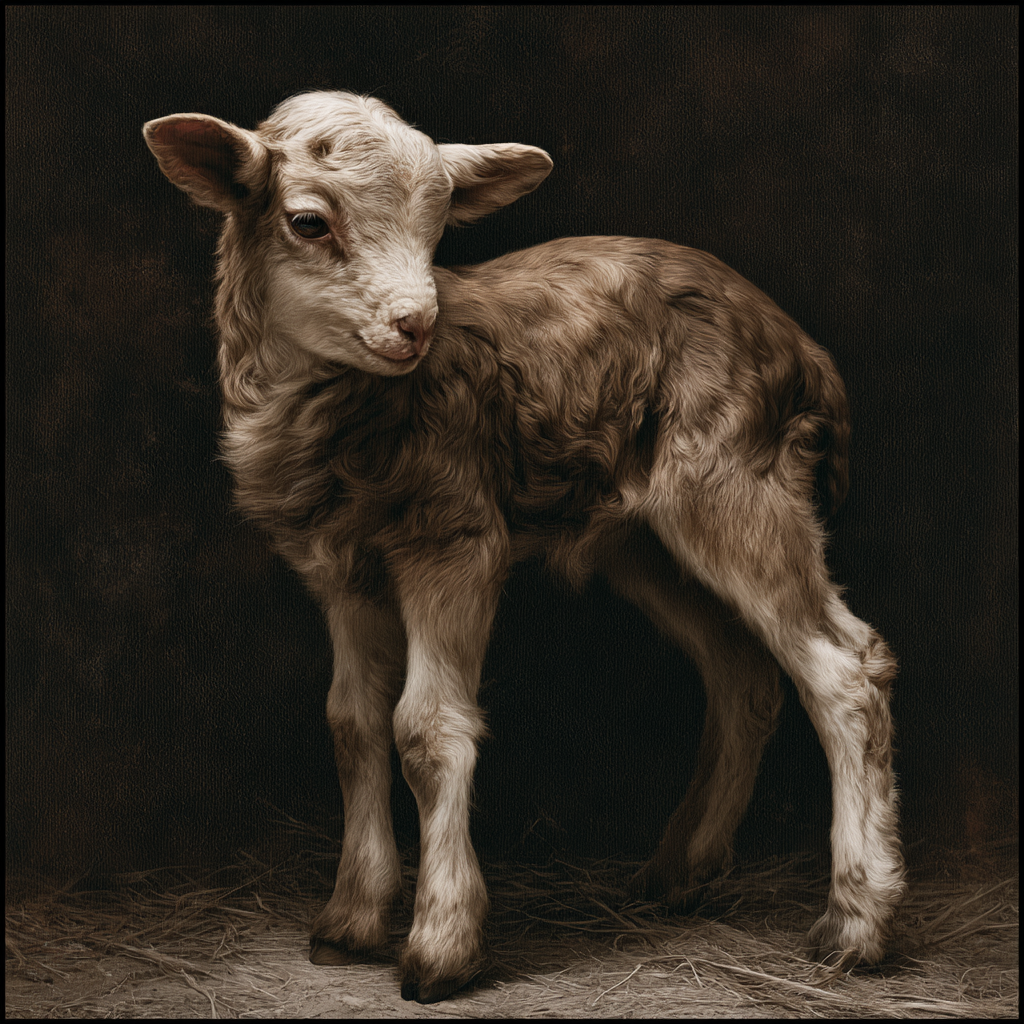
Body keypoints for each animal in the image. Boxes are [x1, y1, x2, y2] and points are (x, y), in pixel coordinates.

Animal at [143, 90, 905, 1003]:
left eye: (437, 227)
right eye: (308, 223)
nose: (415, 325)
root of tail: (804, 349)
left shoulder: (455, 538)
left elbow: (425, 729)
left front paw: (440, 945)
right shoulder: (341, 570)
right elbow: (351, 724)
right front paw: (350, 921)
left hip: (739, 484)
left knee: (845, 668)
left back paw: (856, 925)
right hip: (644, 538)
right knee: (743, 674)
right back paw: (679, 871)